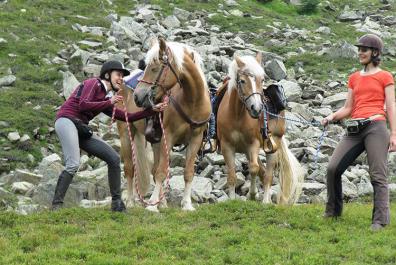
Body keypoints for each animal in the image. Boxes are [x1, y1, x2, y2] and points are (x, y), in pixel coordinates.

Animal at [134, 37, 213, 211]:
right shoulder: (168, 136)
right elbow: (161, 172)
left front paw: (187, 204)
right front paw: (152, 206)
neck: (192, 101)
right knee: (153, 169)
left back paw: (162, 203)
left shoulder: (196, 139)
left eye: (155, 68)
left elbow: (188, 172)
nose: (137, 96)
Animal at [217, 52, 304, 203]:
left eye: (262, 79)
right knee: (262, 172)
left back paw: (265, 201)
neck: (237, 115)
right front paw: (232, 199)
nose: (256, 108)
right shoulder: (226, 145)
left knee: (267, 174)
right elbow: (232, 175)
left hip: (273, 145)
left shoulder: (254, 143)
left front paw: (252, 194)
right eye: (242, 81)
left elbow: (253, 168)